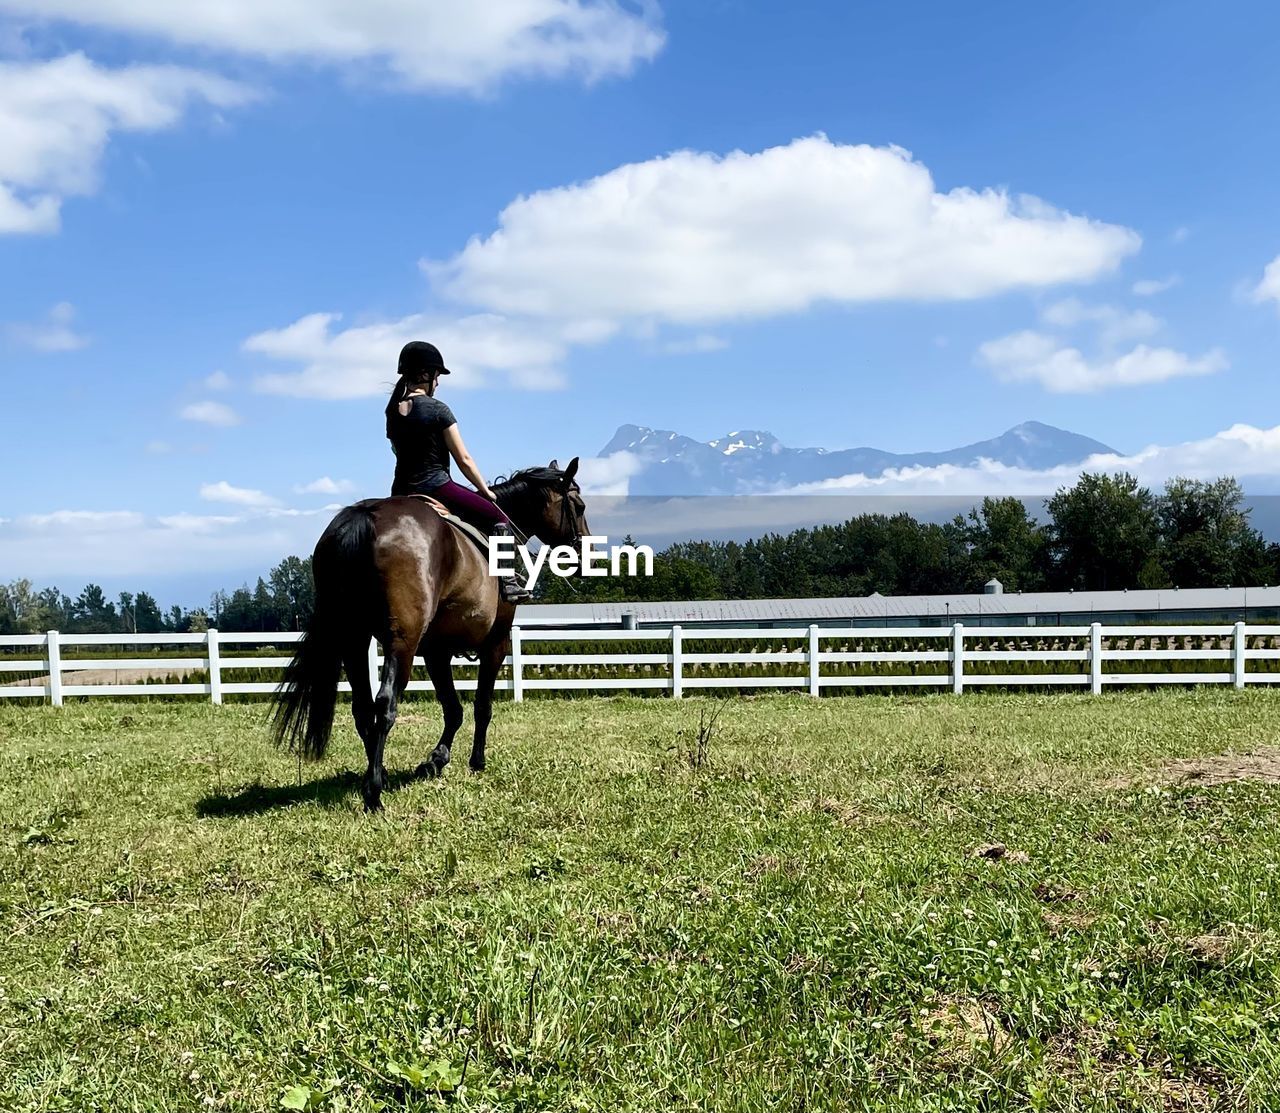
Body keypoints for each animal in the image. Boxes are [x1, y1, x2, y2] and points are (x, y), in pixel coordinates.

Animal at [275, 455, 588, 808]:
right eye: (579, 507)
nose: (583, 555)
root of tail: (366, 516)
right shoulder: (496, 642)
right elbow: (481, 705)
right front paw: (475, 762)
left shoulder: (436, 650)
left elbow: (453, 708)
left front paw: (436, 760)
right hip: (402, 642)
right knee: (385, 704)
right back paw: (374, 793)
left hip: (353, 640)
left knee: (363, 709)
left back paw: (378, 775)